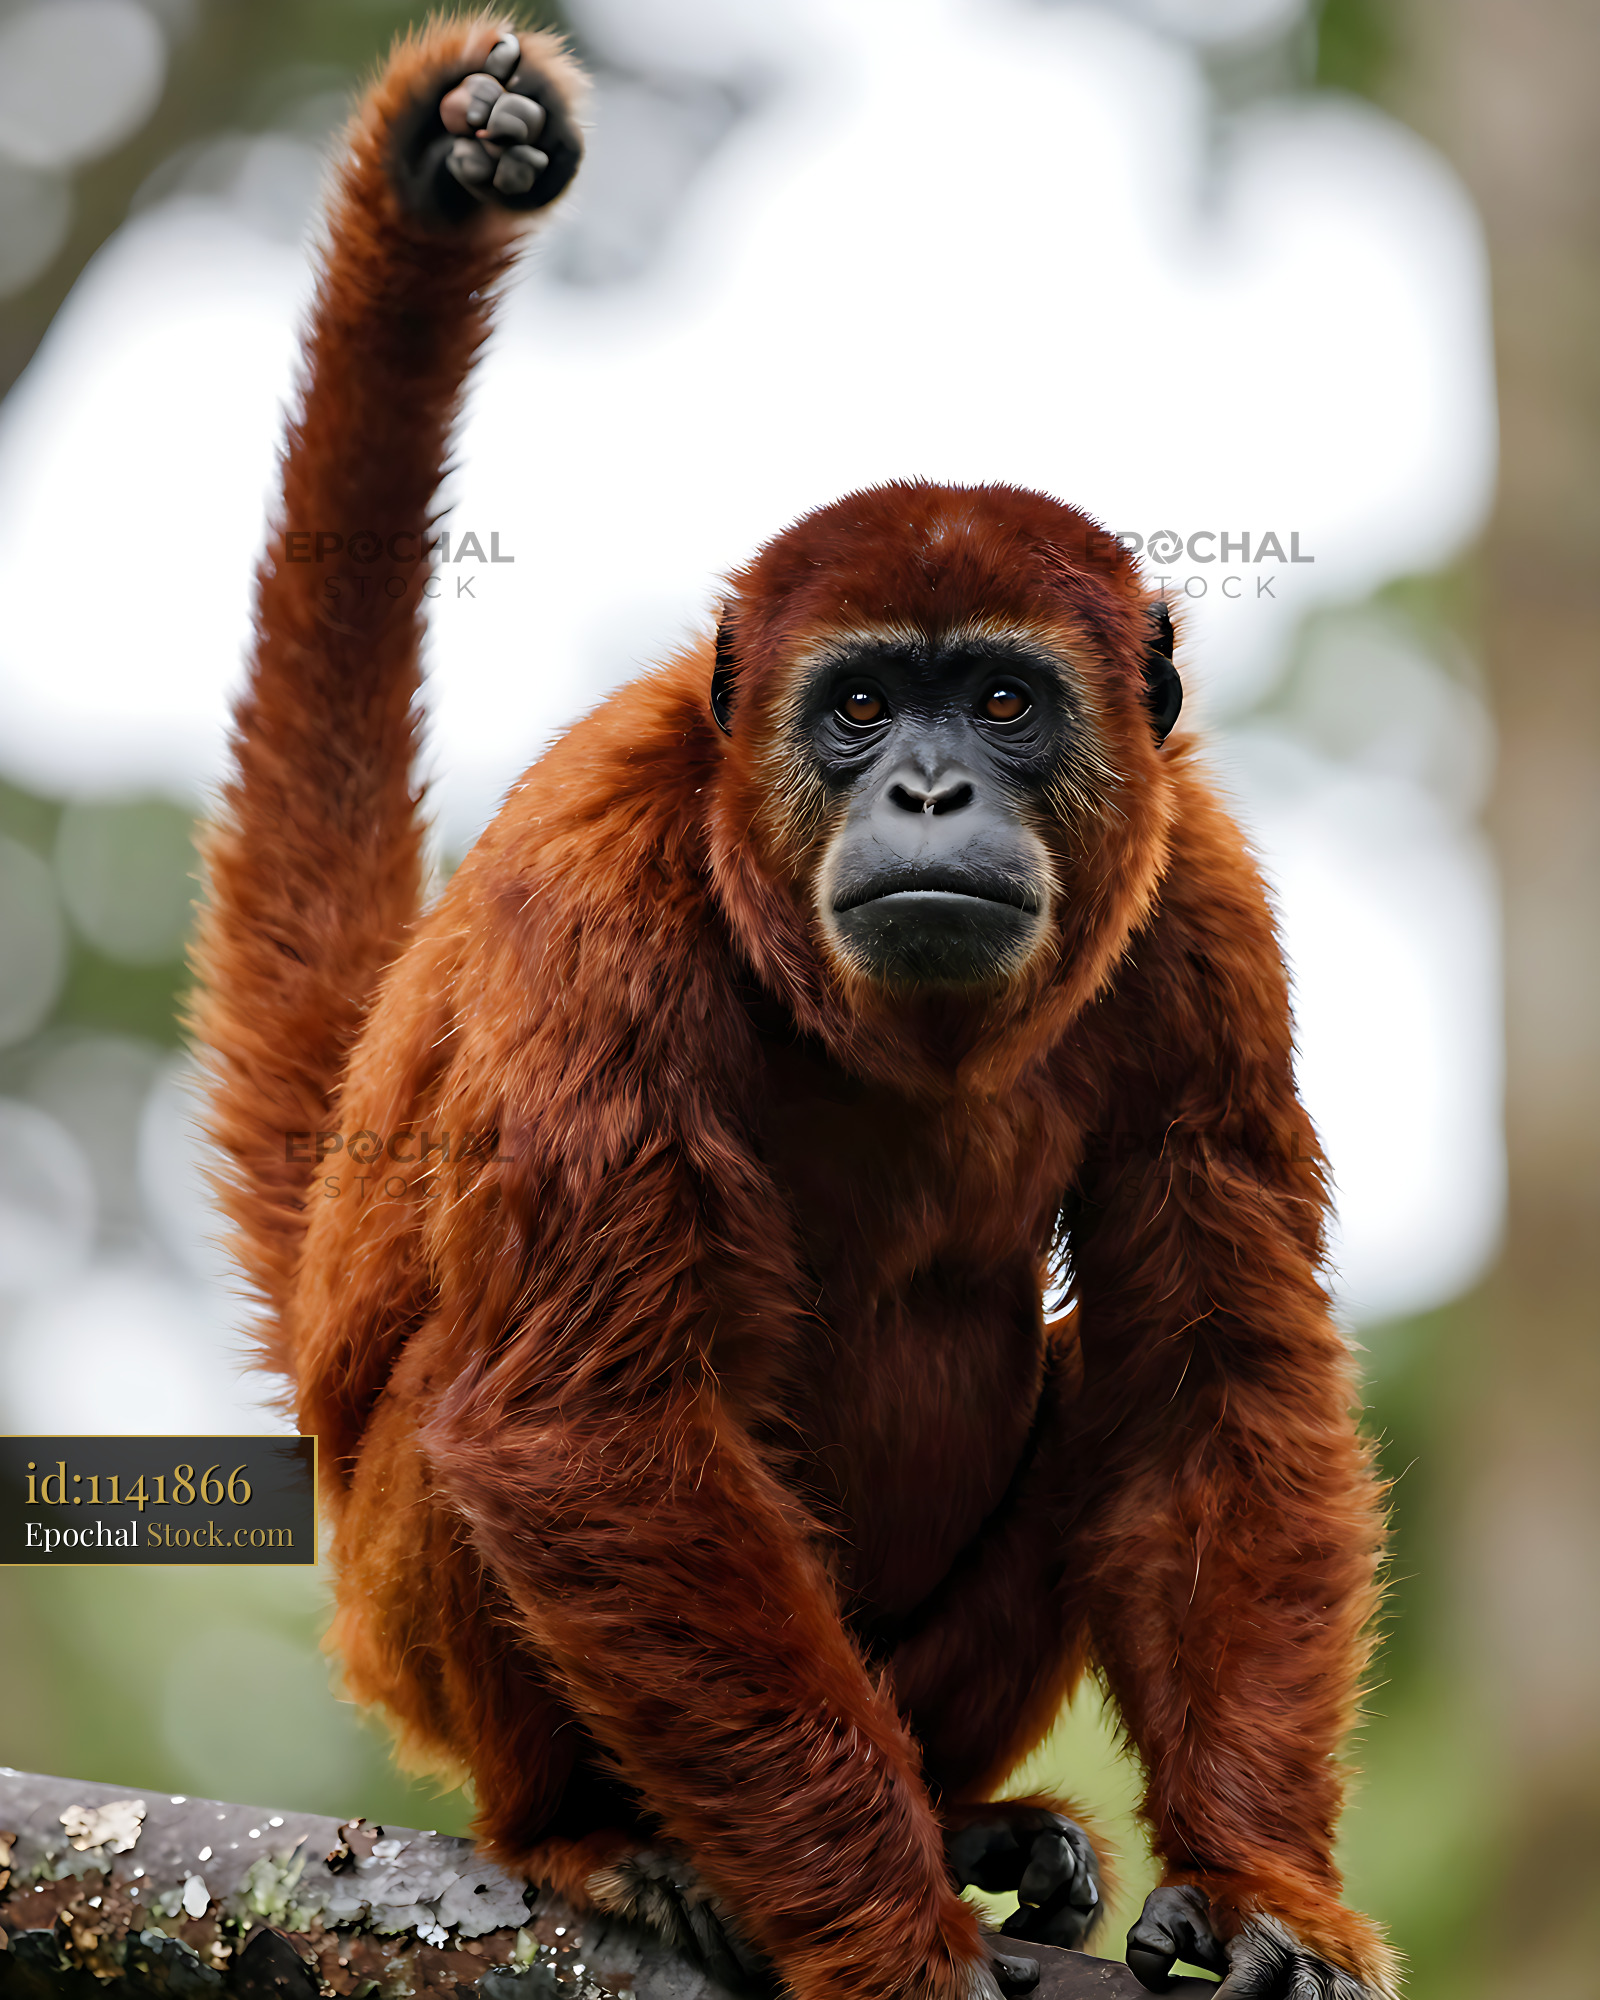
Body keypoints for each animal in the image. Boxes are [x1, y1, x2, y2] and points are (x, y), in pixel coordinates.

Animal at [190, 16, 1397, 2000]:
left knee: (1096, 1370)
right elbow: (582, 1426)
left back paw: (968, 1816)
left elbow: (1214, 1383)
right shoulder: (590, 902)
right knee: (477, 1396)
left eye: (1003, 702)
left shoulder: (1202, 912)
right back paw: (591, 1835)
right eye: (857, 708)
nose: (925, 787)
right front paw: (895, 1945)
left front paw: (1261, 1887)